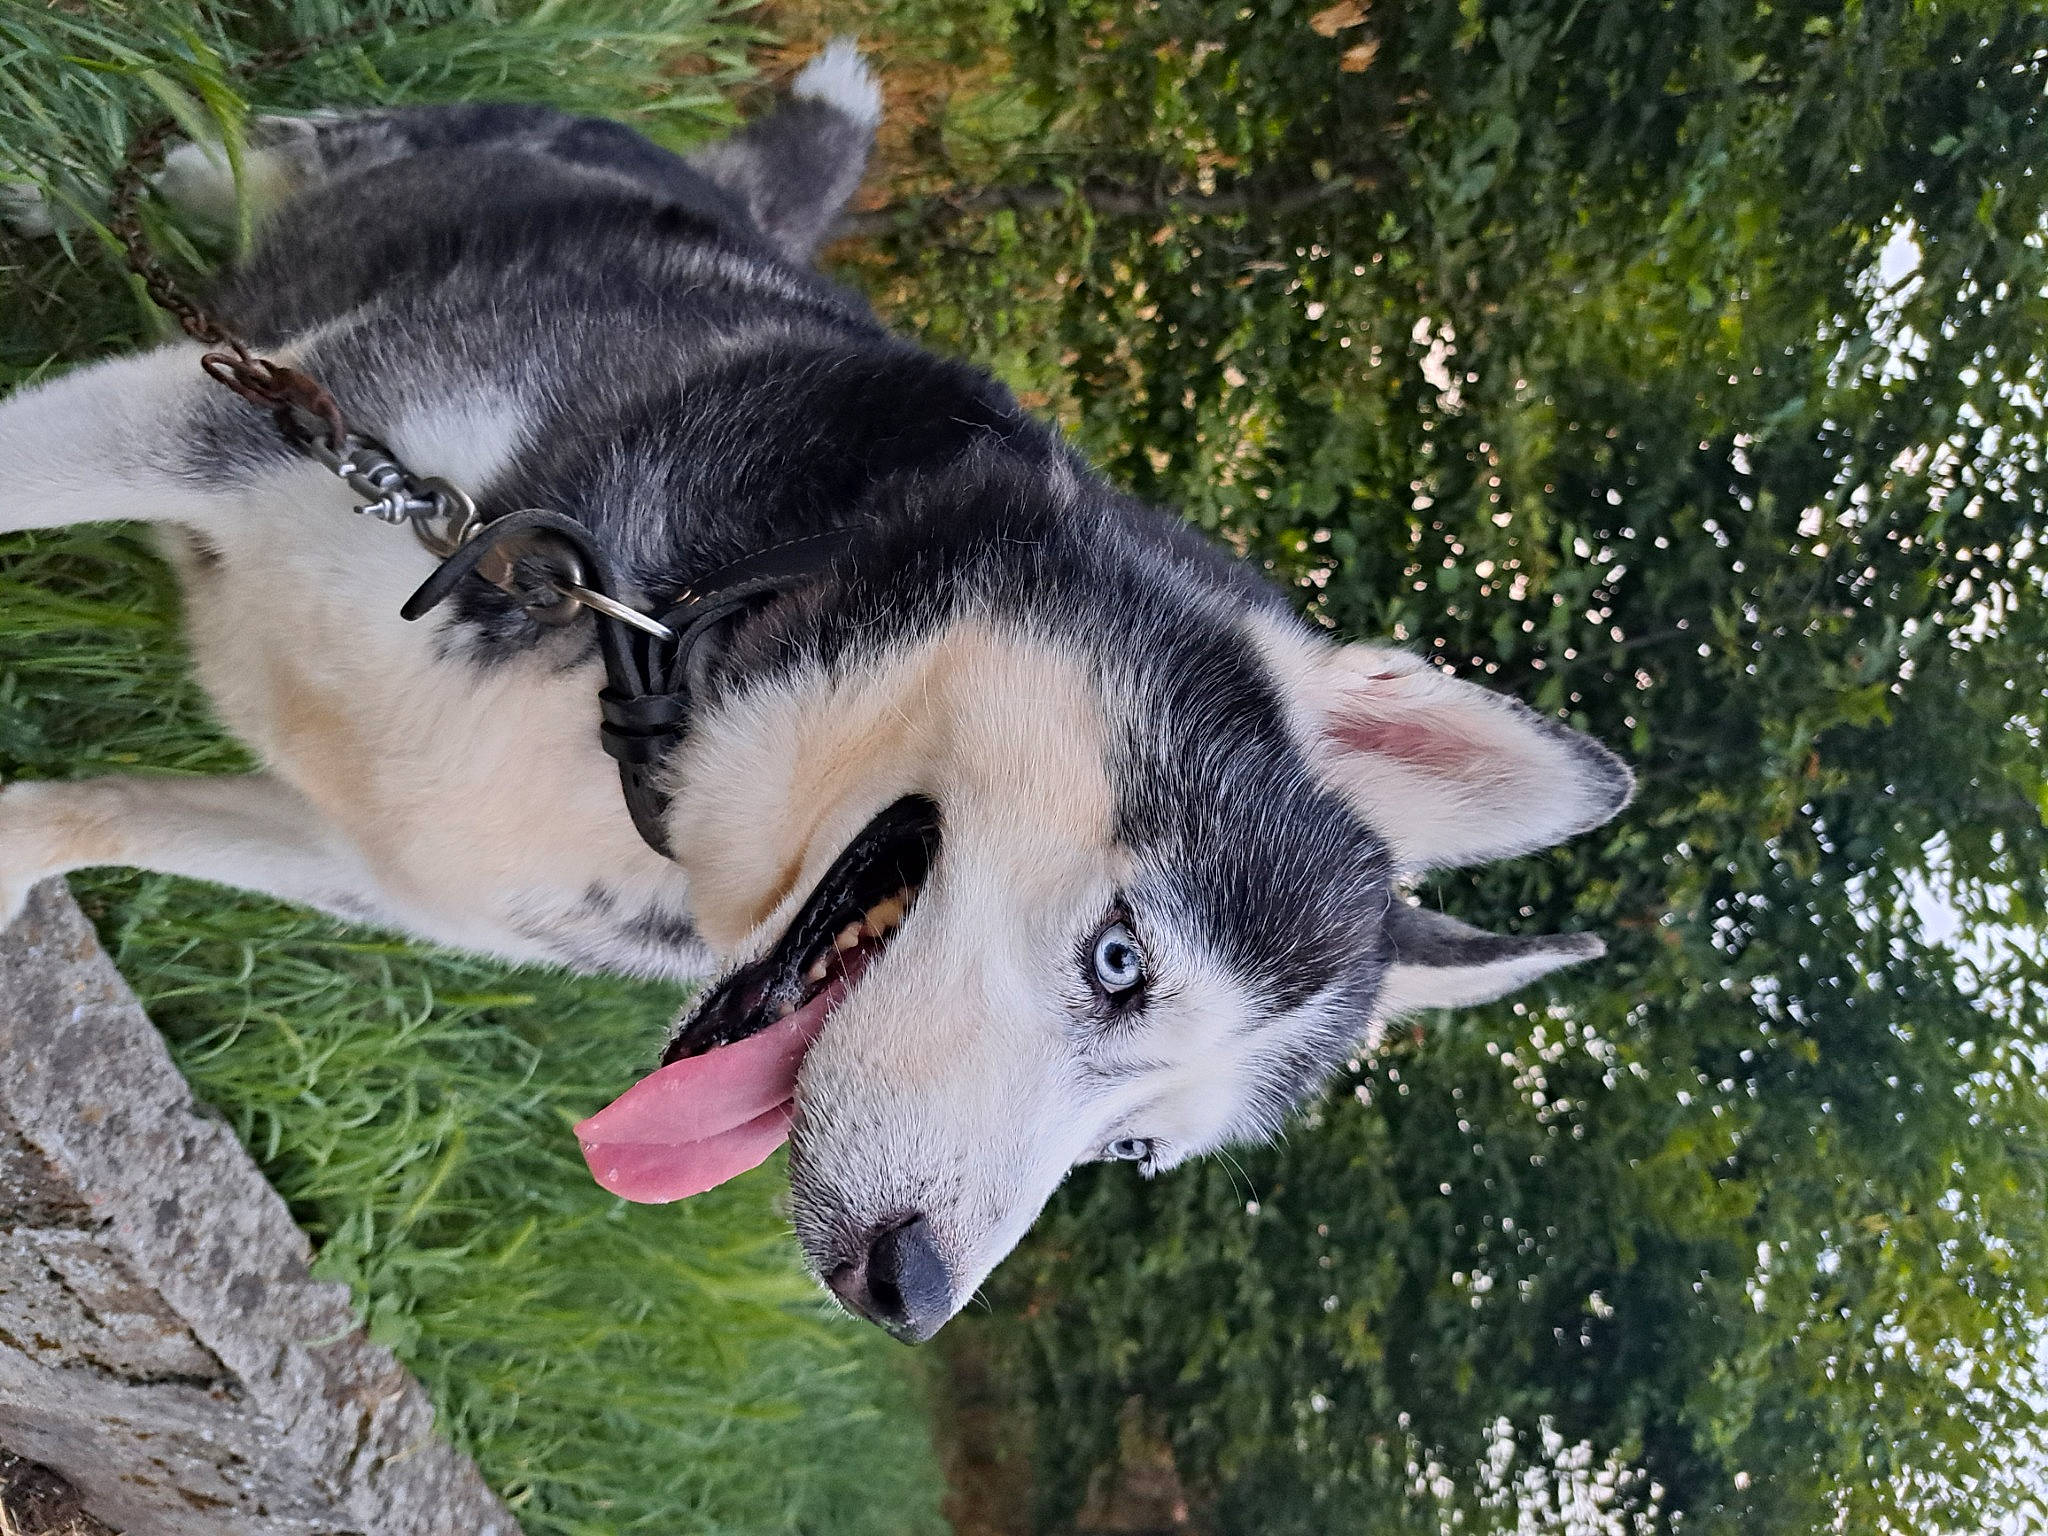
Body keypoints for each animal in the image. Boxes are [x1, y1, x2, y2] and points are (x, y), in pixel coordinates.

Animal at [0, 42, 1631, 1342]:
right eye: (1121, 963)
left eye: (1134, 1157)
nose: (907, 1293)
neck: (656, 678)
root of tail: (731, 198)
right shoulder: (231, 423)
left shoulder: (375, 858)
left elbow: (78, 816)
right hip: (268, 204)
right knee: (187, 161)